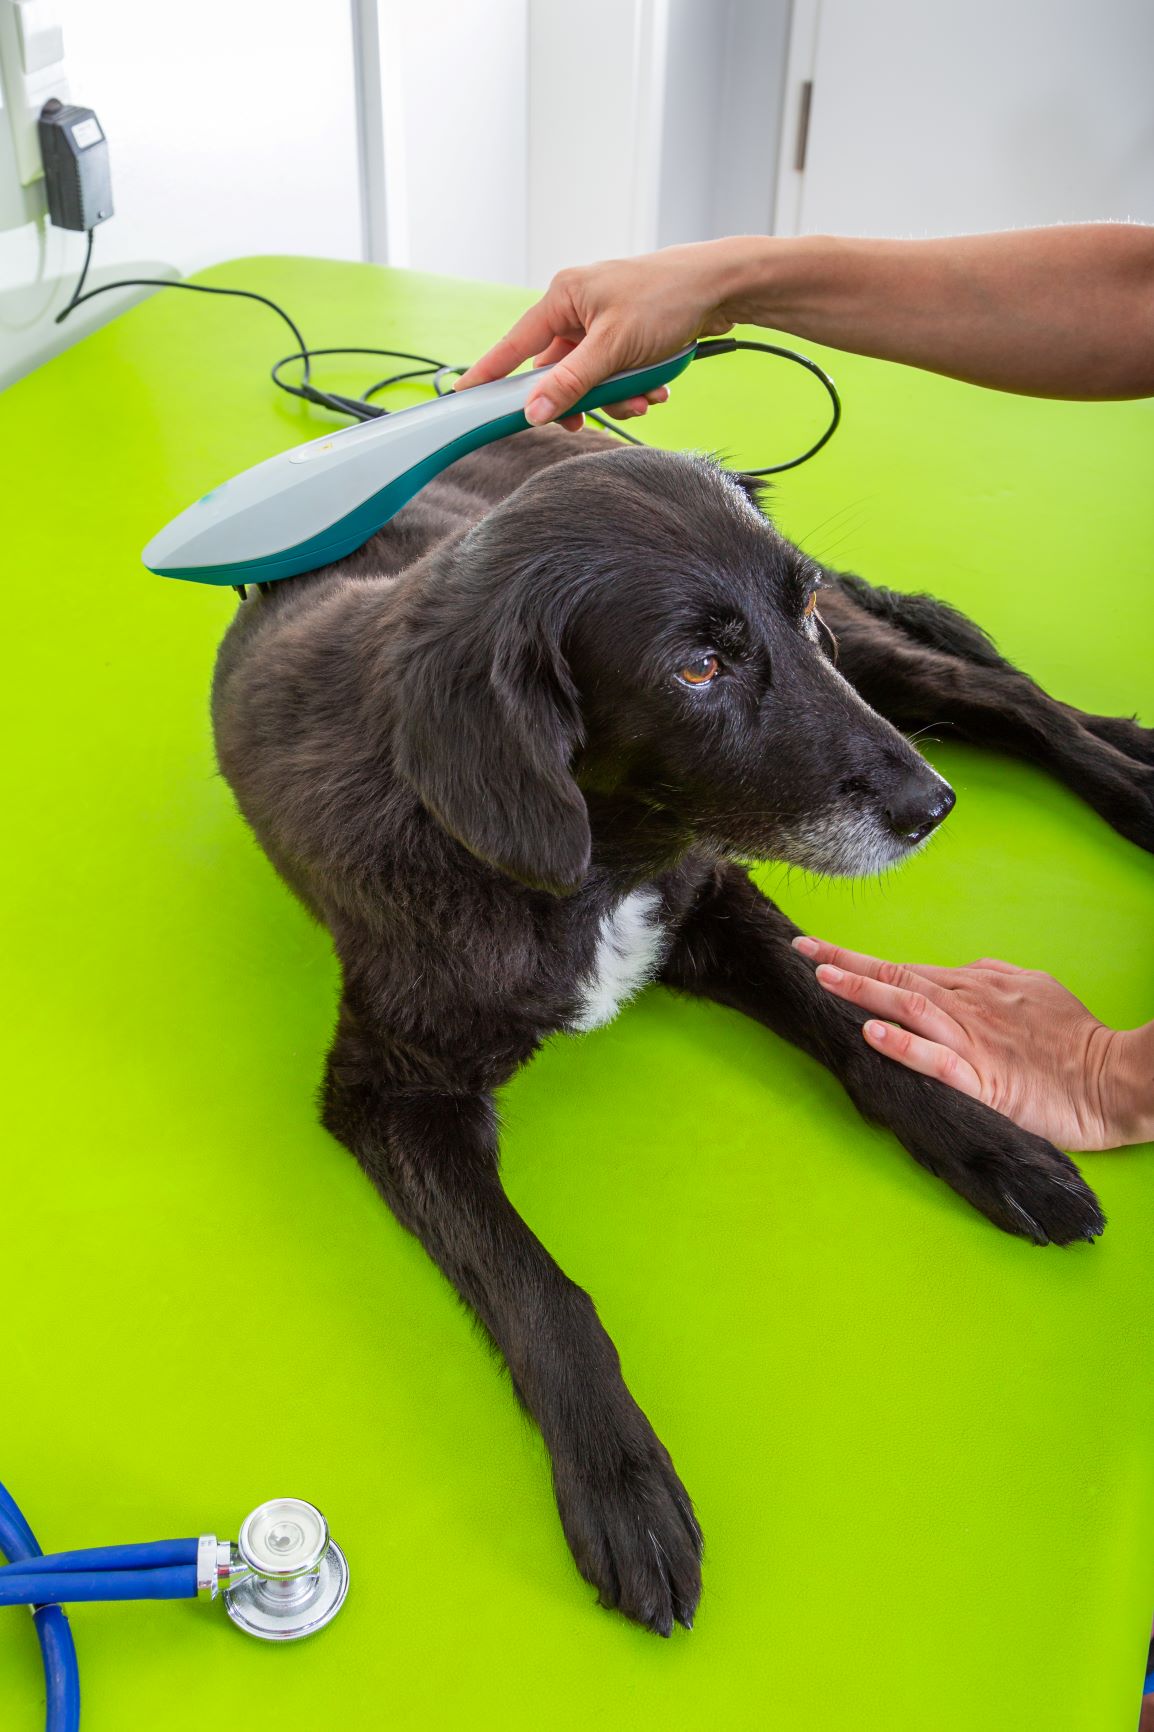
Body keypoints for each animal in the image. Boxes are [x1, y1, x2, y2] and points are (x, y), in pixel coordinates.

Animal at [213, 429, 1150, 1635]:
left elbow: (855, 1022)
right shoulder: (388, 1091)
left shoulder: (713, 900)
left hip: (878, 665)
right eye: (696, 669)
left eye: (794, 613)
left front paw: (995, 1144)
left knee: (993, 696)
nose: (931, 809)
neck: (593, 860)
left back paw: (1131, 781)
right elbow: (538, 1287)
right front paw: (619, 1481)